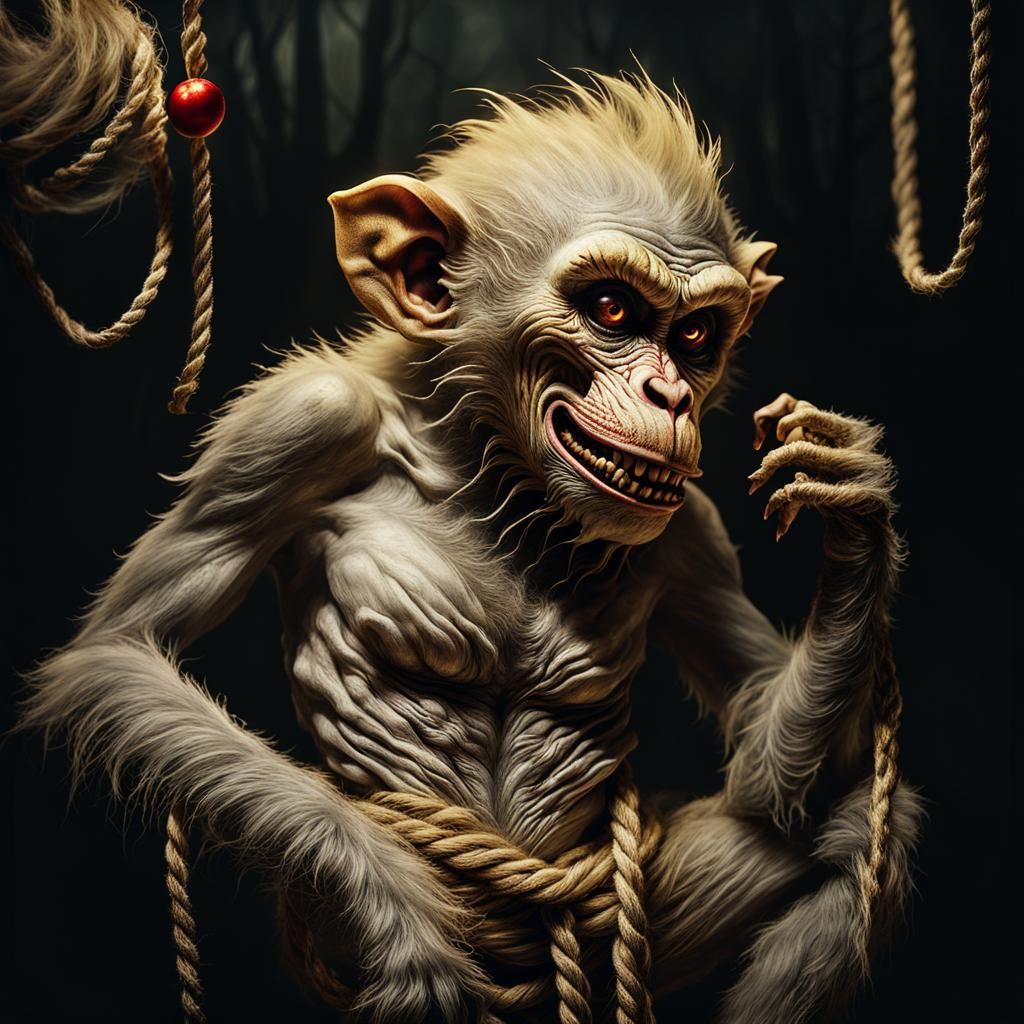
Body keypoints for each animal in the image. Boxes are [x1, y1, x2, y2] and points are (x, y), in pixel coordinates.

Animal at [20, 70, 921, 1023]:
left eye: (695, 336)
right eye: (611, 309)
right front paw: (394, 912)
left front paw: (853, 510)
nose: (670, 393)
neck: (487, 461)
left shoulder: (693, 532)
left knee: (851, 833)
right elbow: (118, 656)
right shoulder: (298, 423)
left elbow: (760, 741)